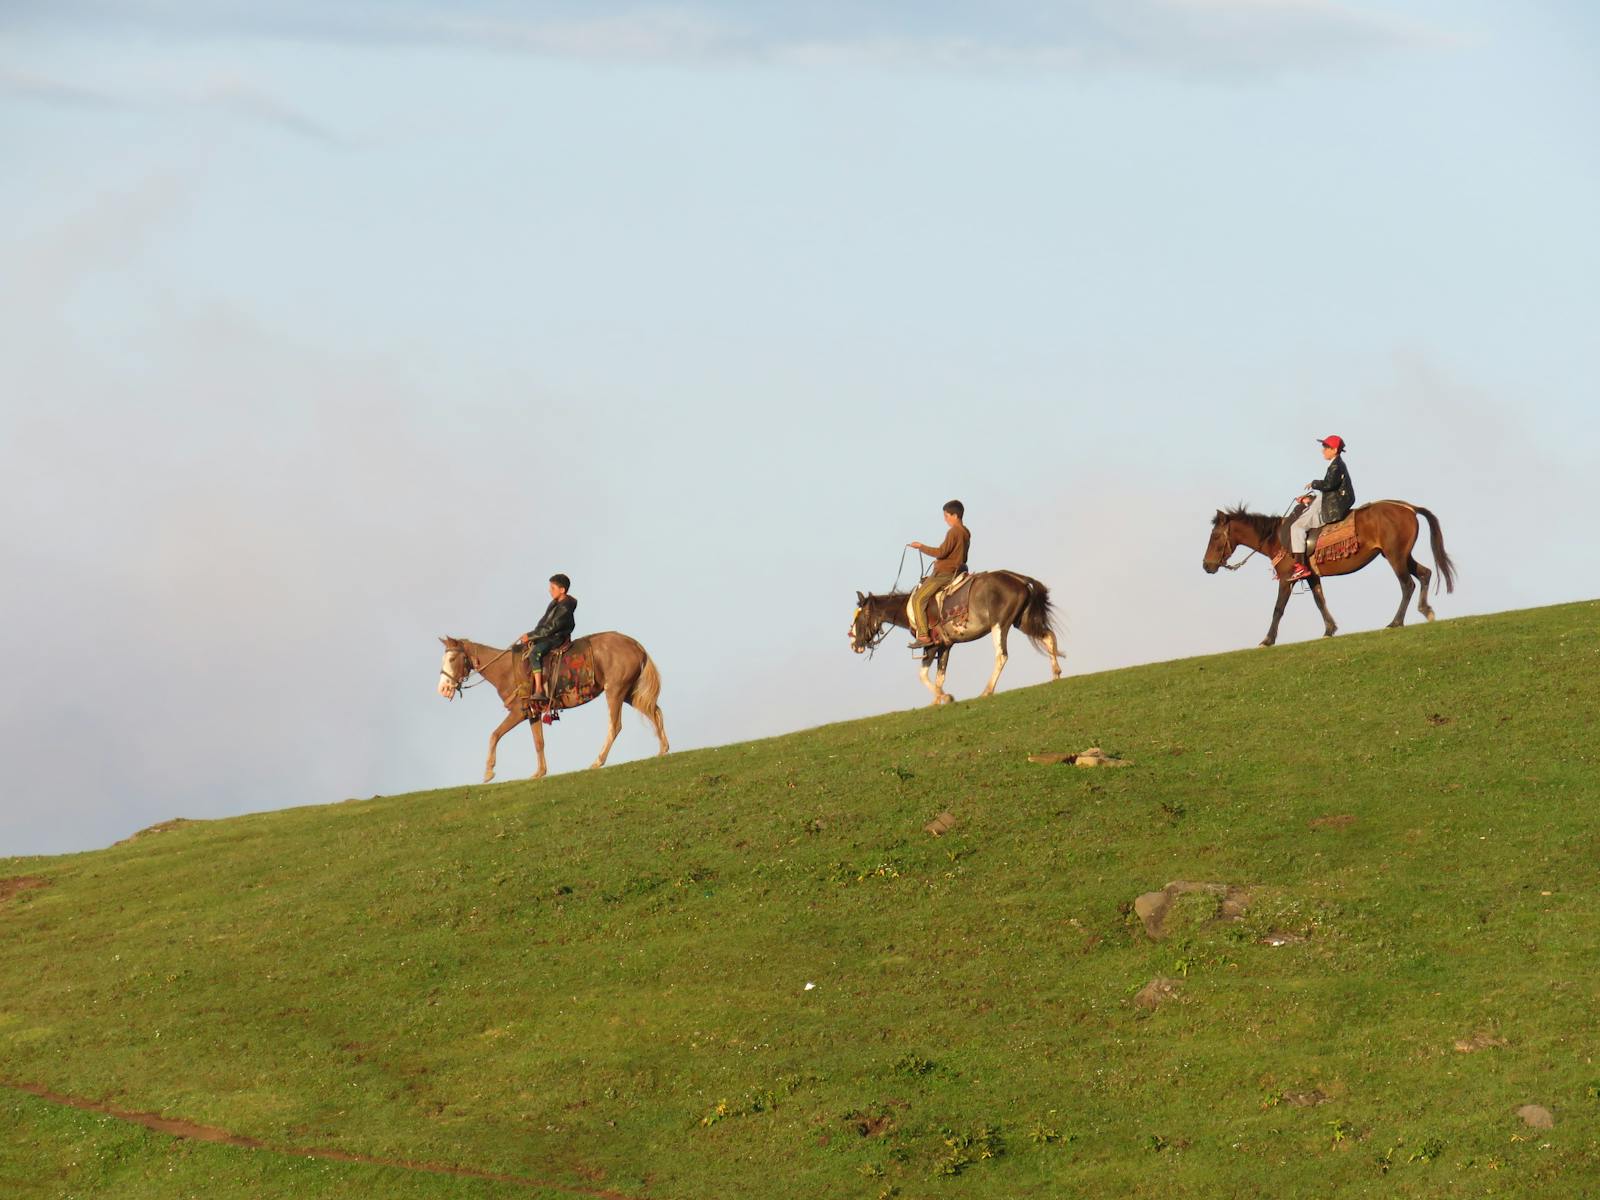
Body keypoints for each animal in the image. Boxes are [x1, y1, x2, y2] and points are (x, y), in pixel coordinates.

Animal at [437, 633, 669, 782]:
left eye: (452, 658)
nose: (443, 689)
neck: (506, 671)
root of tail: (635, 644)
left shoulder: (517, 712)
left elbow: (494, 735)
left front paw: (488, 772)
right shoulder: (532, 713)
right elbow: (538, 742)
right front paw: (540, 772)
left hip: (615, 691)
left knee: (615, 725)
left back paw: (598, 761)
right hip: (630, 693)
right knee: (655, 712)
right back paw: (663, 749)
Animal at [848, 571, 1065, 706]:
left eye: (859, 618)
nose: (854, 644)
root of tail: (1019, 578)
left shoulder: (931, 646)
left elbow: (923, 675)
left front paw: (945, 697)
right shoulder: (946, 646)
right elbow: (940, 676)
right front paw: (937, 700)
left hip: (999, 626)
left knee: (1001, 655)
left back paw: (987, 691)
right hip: (1022, 621)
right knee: (1048, 637)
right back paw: (1055, 674)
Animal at [1202, 501, 1456, 647]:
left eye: (1215, 536)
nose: (1206, 566)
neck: (1276, 538)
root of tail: (1409, 508)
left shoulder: (1286, 578)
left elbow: (1278, 608)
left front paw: (1267, 640)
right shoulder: (1311, 576)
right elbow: (1319, 601)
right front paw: (1329, 629)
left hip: (1395, 556)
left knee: (1407, 585)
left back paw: (1395, 622)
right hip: (1400, 555)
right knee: (1424, 574)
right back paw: (1426, 610)